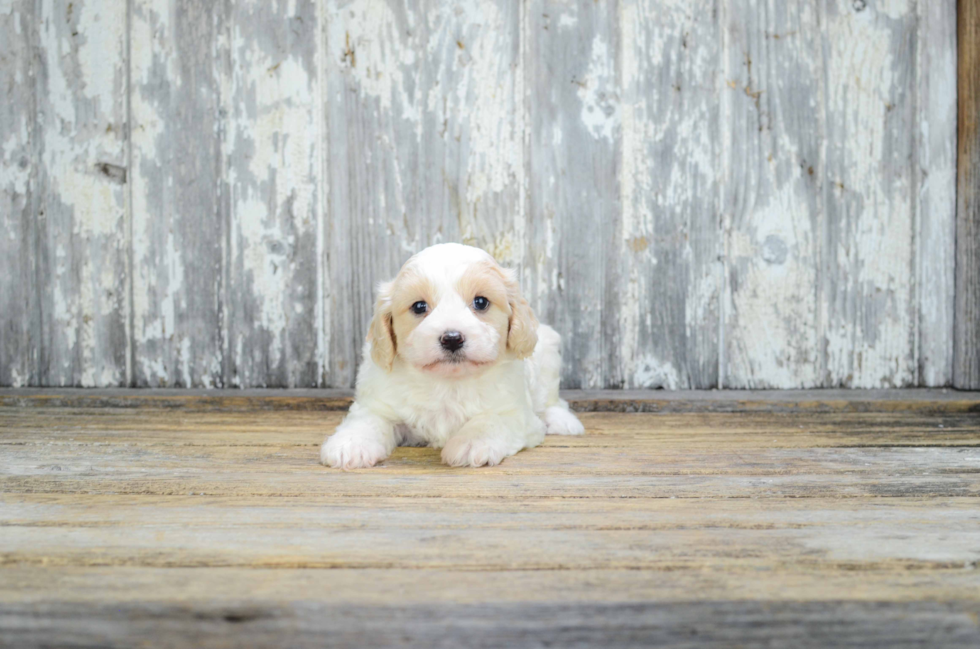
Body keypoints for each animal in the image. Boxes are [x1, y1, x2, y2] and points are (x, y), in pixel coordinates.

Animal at [320, 240, 580, 468]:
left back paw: (562, 421)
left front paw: (472, 443)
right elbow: (367, 420)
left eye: (481, 302)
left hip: (548, 355)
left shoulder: (515, 412)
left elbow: (491, 420)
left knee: (552, 400)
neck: (447, 382)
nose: (452, 338)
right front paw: (349, 445)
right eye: (419, 306)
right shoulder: (378, 403)